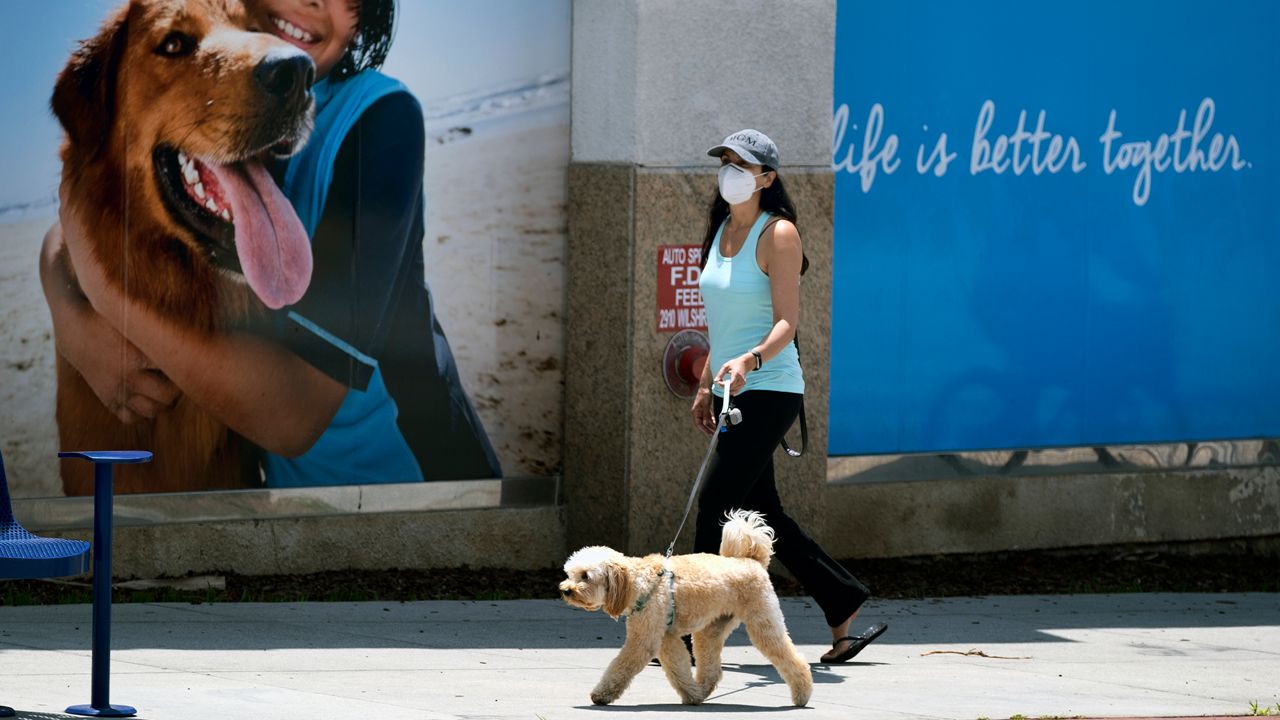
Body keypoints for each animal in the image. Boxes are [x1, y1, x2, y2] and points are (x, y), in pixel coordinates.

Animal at [560, 507, 808, 702]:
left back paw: (802, 693)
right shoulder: (667, 639)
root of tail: (753, 561)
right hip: (710, 632)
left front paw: (602, 695)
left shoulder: (644, 640)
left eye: (585, 576)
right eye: (570, 574)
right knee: (711, 670)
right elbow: (678, 669)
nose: (565, 590)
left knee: (792, 657)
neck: (637, 582)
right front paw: (690, 693)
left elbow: (622, 665)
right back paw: (701, 693)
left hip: (763, 623)